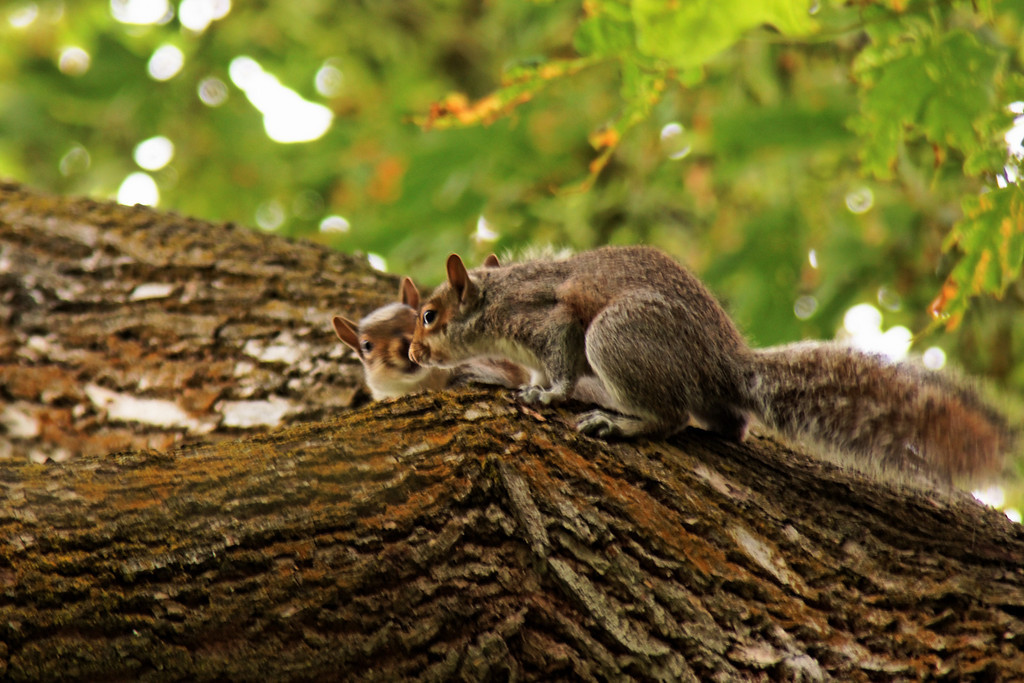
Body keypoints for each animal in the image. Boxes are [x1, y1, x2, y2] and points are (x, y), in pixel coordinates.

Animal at [409, 244, 1015, 481]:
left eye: (429, 316)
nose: (414, 353)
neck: (496, 299)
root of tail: (725, 364)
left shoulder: (549, 321)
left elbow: (557, 362)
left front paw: (550, 394)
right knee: (729, 423)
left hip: (617, 334)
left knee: (672, 416)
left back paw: (622, 423)